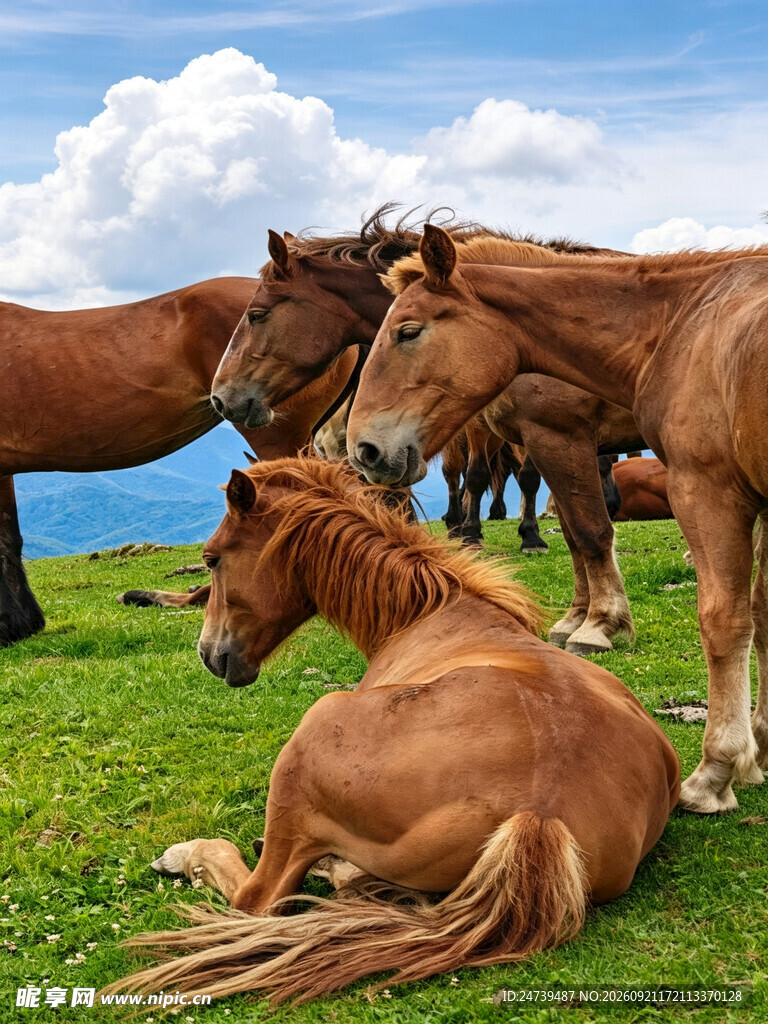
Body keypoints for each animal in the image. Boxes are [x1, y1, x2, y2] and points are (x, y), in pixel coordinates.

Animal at [105, 457, 679, 1006]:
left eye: (212, 559)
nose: (210, 654)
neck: (428, 614)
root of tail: (540, 816)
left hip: (307, 748)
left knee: (257, 899)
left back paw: (193, 856)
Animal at [208, 212, 644, 653]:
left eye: (257, 314)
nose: (220, 397)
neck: (514, 330)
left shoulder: (558, 436)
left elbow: (587, 530)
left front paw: (600, 623)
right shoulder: (542, 442)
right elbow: (570, 531)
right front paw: (574, 616)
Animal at [347, 223, 768, 814]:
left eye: (408, 332)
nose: (362, 450)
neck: (680, 325)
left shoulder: (705, 491)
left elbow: (724, 621)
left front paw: (716, 771)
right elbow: (764, 614)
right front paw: (763, 746)